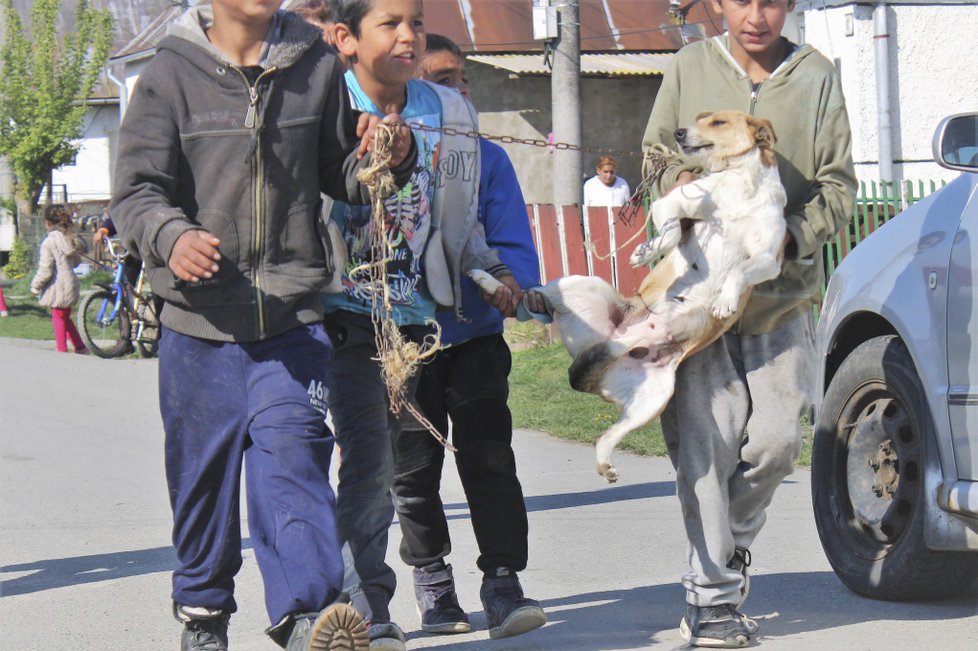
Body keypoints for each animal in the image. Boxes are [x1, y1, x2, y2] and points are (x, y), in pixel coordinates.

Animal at [468, 108, 780, 484]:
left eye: (718, 122)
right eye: (700, 117)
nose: (678, 133)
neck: (739, 184)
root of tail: (605, 344)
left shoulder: (769, 257)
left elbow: (740, 271)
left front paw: (726, 298)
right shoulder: (673, 202)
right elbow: (671, 228)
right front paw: (648, 251)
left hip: (652, 399)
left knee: (603, 437)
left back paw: (606, 462)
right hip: (580, 285)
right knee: (527, 300)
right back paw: (488, 282)